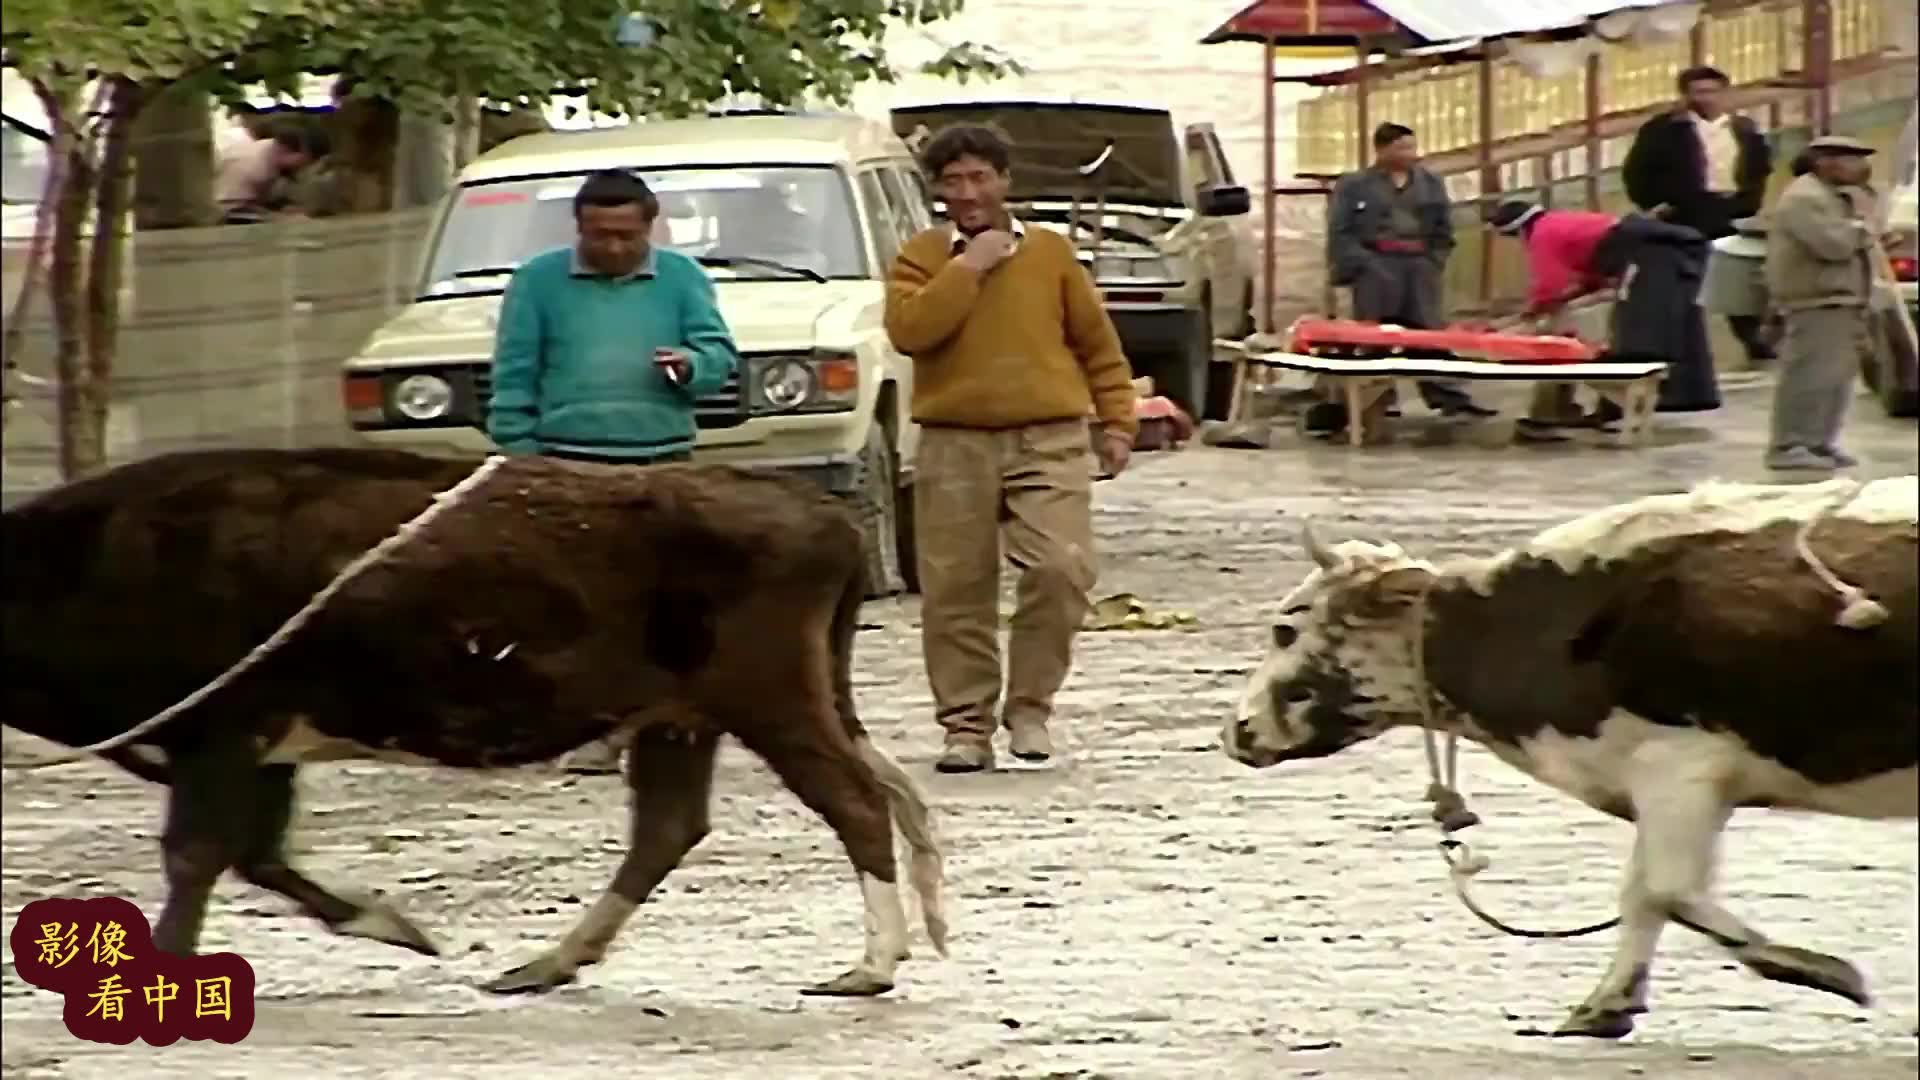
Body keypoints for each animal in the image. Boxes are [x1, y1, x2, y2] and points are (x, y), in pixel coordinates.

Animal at [0, 443, 944, 991]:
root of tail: (823, 513)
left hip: (771, 702)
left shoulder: (222, 736)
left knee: (856, 804)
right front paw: (398, 928)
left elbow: (200, 856)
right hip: (683, 718)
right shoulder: (256, 751)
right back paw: (546, 964)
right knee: (671, 828)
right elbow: (257, 857)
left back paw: (868, 966)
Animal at [1221, 470, 1912, 1037]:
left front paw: (1817, 968)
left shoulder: (1679, 767)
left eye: (1285, 628)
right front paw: (1607, 1005)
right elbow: (1643, 894)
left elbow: (1667, 890)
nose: (1237, 731)